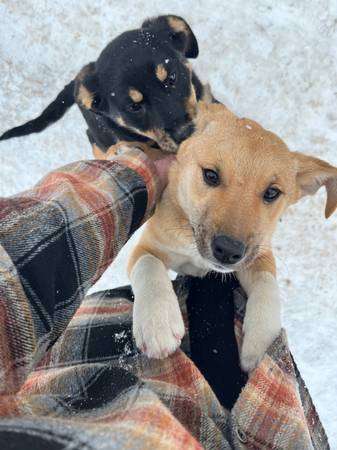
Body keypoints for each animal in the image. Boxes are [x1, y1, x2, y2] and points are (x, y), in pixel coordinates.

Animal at [124, 103, 336, 372]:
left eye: (272, 192)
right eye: (210, 175)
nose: (228, 250)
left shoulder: (260, 253)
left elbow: (267, 284)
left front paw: (261, 342)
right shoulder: (148, 245)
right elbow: (148, 265)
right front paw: (157, 321)